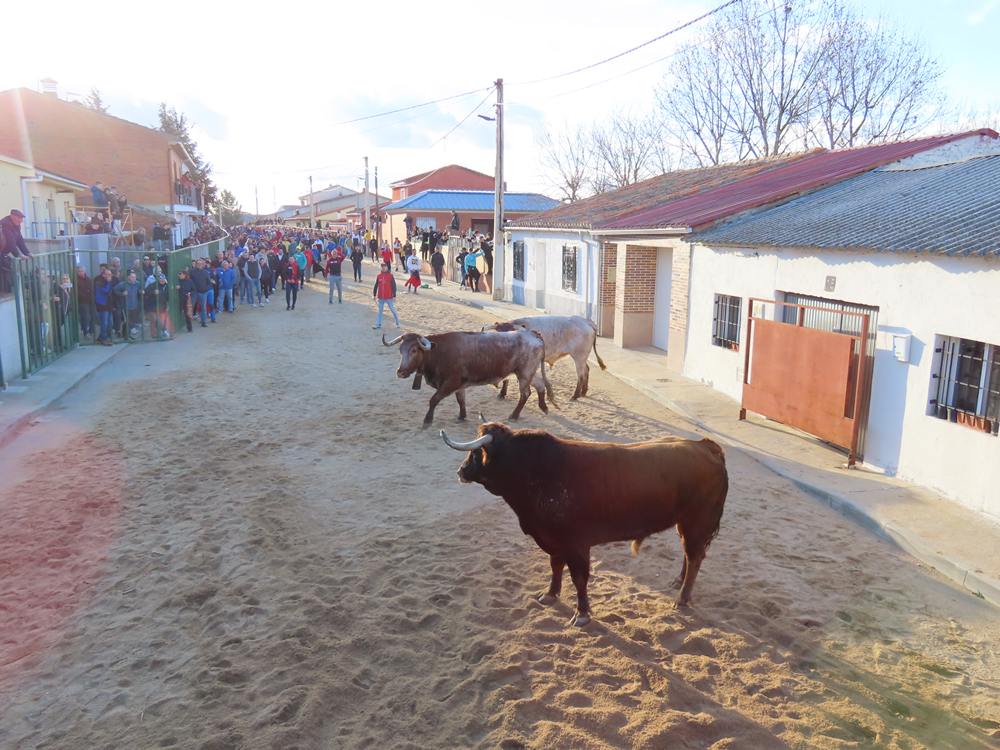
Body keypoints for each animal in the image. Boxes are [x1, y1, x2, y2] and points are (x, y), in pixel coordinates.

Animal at [442, 424, 732, 628]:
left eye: (476, 453)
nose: (460, 471)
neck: (537, 472)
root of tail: (706, 446)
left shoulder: (576, 544)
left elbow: (579, 578)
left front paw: (582, 614)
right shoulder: (553, 540)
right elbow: (555, 567)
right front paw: (550, 594)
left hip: (697, 522)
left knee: (694, 557)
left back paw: (681, 599)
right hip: (685, 523)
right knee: (689, 554)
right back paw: (678, 583)